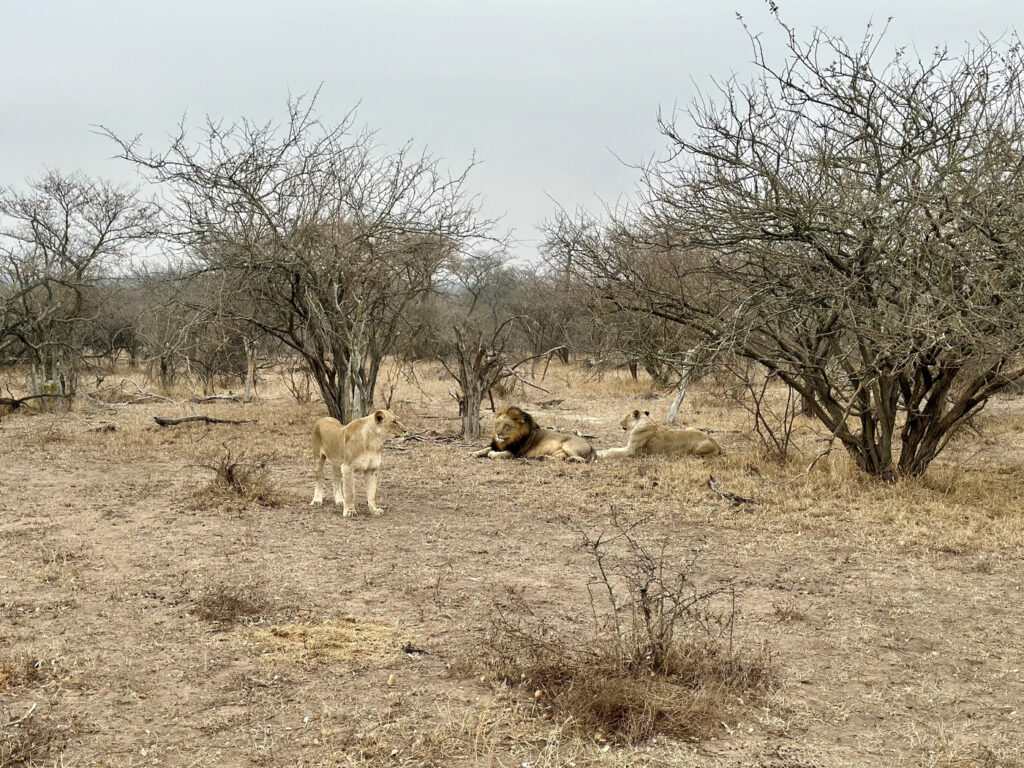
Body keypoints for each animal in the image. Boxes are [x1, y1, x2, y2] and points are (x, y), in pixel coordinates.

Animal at [468, 409, 598, 462]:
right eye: (498, 424)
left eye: (507, 426)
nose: (498, 434)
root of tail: (591, 447)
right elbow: (486, 448)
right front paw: (474, 453)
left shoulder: (515, 453)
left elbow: (498, 454)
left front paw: (492, 454)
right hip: (560, 452)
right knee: (561, 458)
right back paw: (543, 457)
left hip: (568, 446)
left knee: (581, 459)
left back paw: (571, 460)